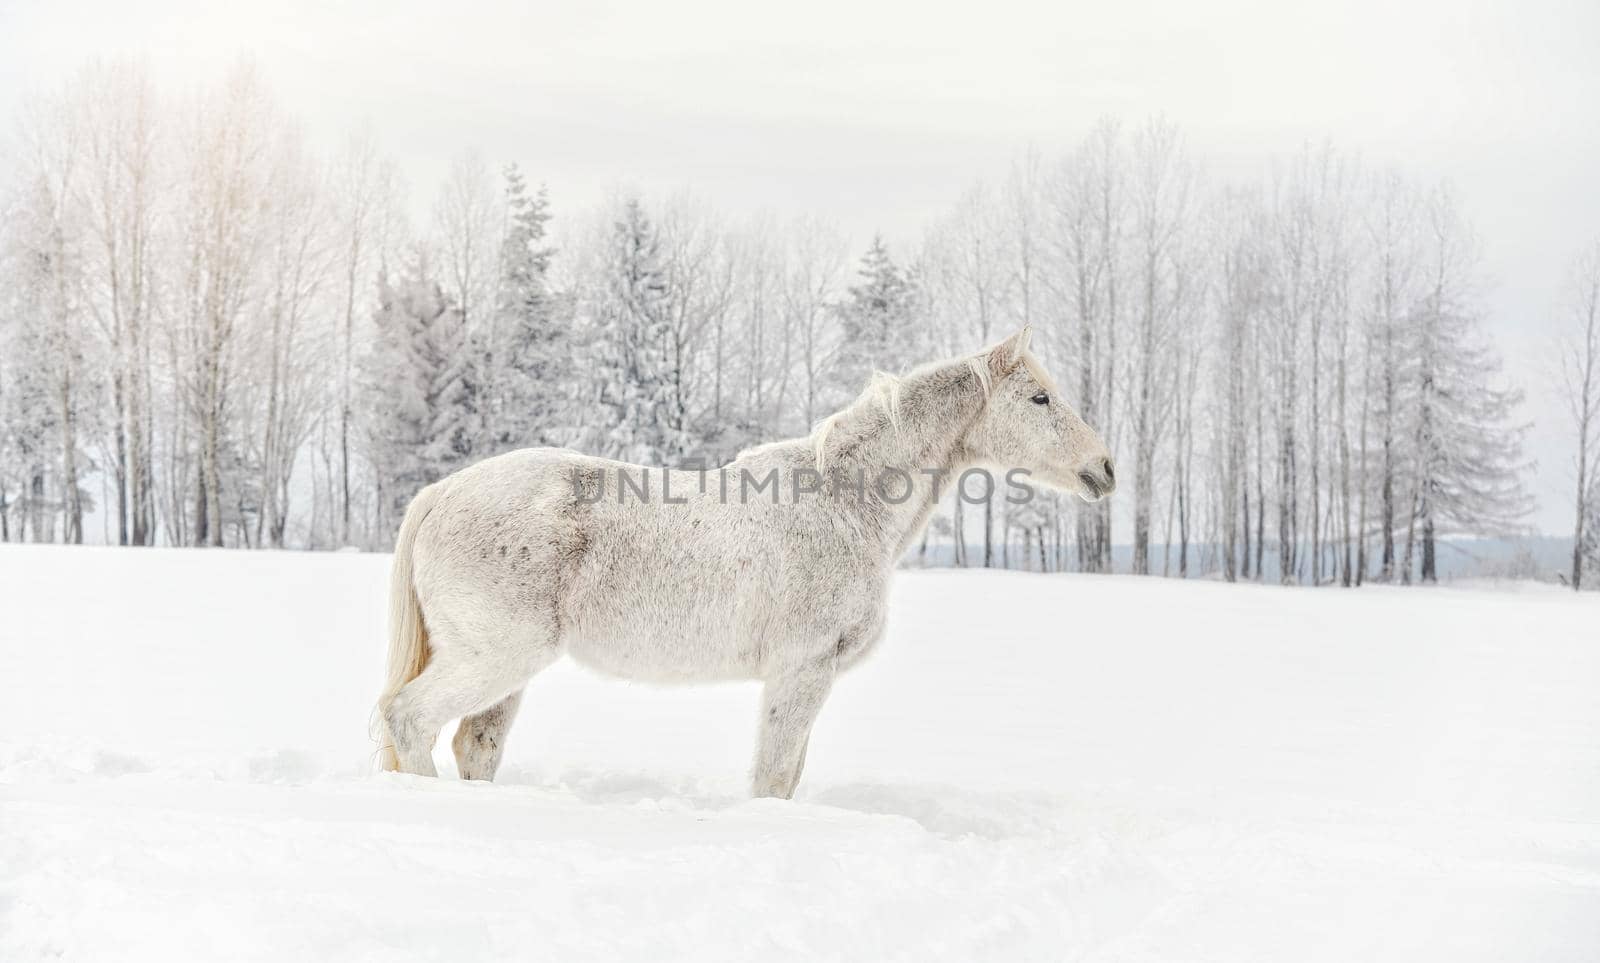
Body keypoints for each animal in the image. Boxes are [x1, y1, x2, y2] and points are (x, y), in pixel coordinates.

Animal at [380, 327, 1120, 793]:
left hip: (507, 673)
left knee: (474, 747)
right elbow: (774, 775)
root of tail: (441, 493)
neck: (842, 501)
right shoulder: (802, 670)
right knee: (408, 719)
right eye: (1040, 398)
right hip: (496, 658)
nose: (1106, 468)